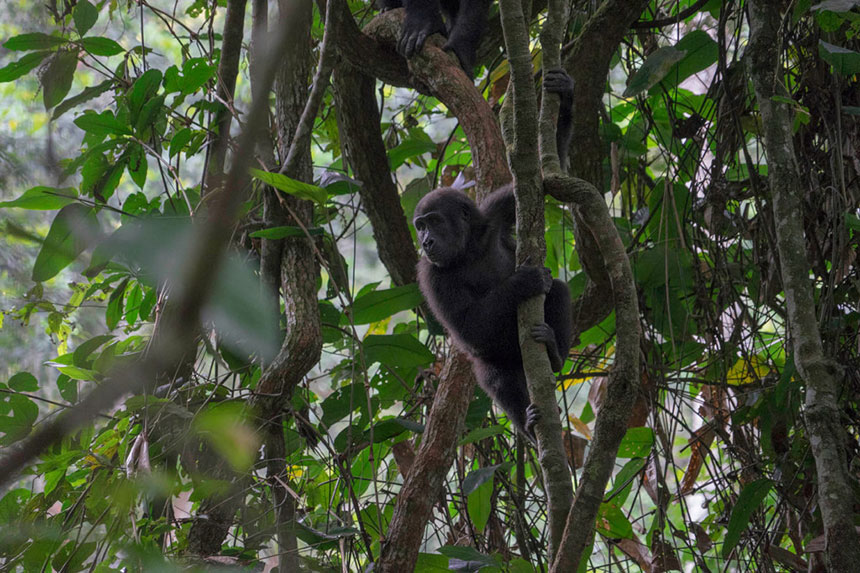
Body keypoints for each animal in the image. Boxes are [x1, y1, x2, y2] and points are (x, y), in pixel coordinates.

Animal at [414, 69, 576, 440]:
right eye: (420, 226)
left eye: (433, 222)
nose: (425, 241)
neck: (468, 249)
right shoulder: (430, 277)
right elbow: (468, 326)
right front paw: (523, 281)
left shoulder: (496, 211)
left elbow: (543, 179)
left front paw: (565, 94)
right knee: (494, 374)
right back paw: (528, 424)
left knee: (559, 292)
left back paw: (554, 355)